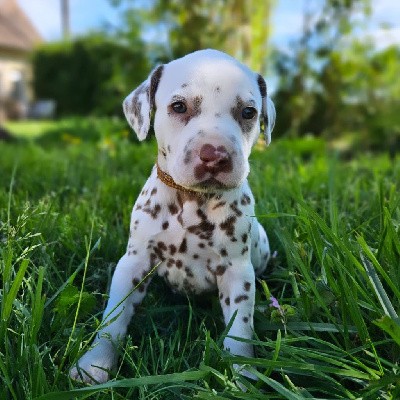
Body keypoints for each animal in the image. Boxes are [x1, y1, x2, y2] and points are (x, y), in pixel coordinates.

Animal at [70, 49, 275, 384]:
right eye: (178, 106)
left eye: (248, 112)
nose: (215, 155)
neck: (192, 199)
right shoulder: (135, 262)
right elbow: (114, 318)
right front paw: (95, 363)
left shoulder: (237, 272)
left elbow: (240, 331)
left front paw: (244, 376)